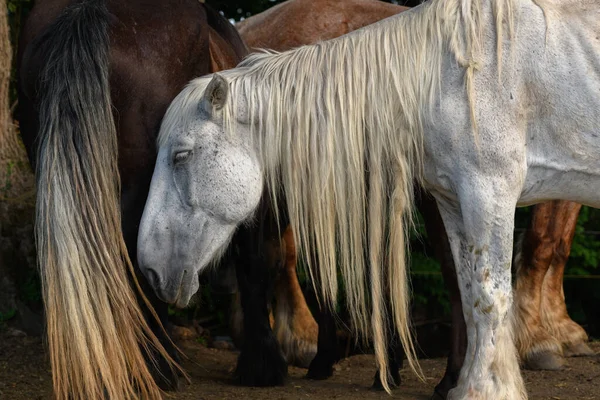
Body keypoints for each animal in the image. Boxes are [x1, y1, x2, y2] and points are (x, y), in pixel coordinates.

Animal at [137, 0, 600, 396]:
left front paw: (485, 389)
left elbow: (489, 298)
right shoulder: (456, 200)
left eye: (181, 154)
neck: (451, 73)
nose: (150, 268)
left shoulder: (490, 191)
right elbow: (469, 293)